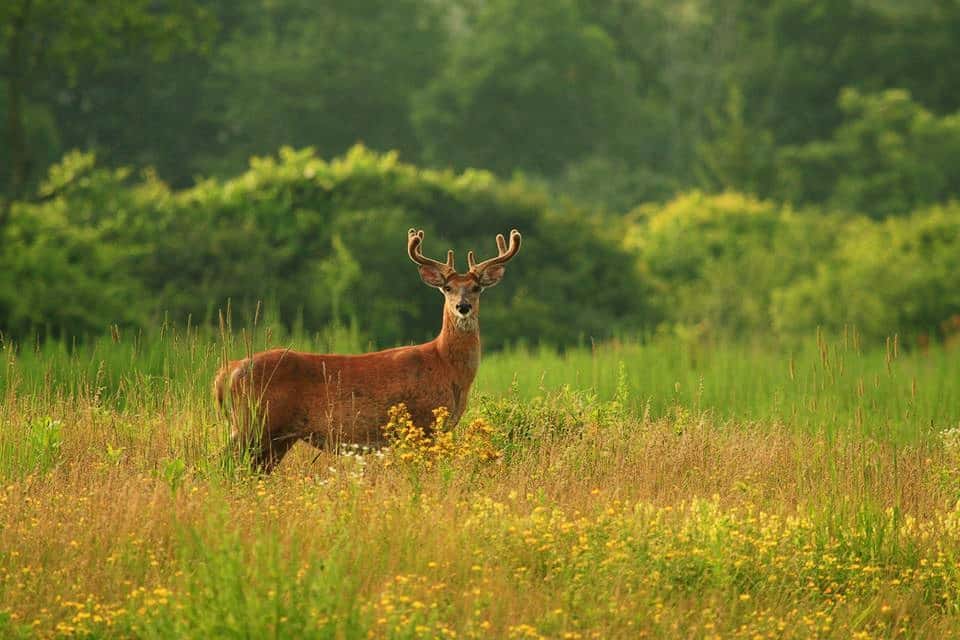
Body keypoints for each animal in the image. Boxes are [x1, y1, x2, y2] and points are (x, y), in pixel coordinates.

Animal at [213, 228, 521, 472]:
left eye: (476, 287)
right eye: (447, 288)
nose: (463, 306)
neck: (445, 364)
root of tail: (226, 373)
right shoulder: (422, 422)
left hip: (275, 437)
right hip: (253, 423)